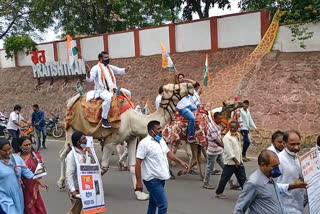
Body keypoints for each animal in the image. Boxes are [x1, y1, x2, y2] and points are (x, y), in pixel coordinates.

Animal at [56, 82, 194, 201]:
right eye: (175, 88)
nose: (192, 86)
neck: (133, 120)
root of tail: (70, 102)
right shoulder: (110, 142)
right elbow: (103, 168)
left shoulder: (132, 138)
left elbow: (133, 166)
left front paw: (140, 193)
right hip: (71, 131)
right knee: (64, 153)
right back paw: (63, 182)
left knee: (66, 153)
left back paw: (62, 182)